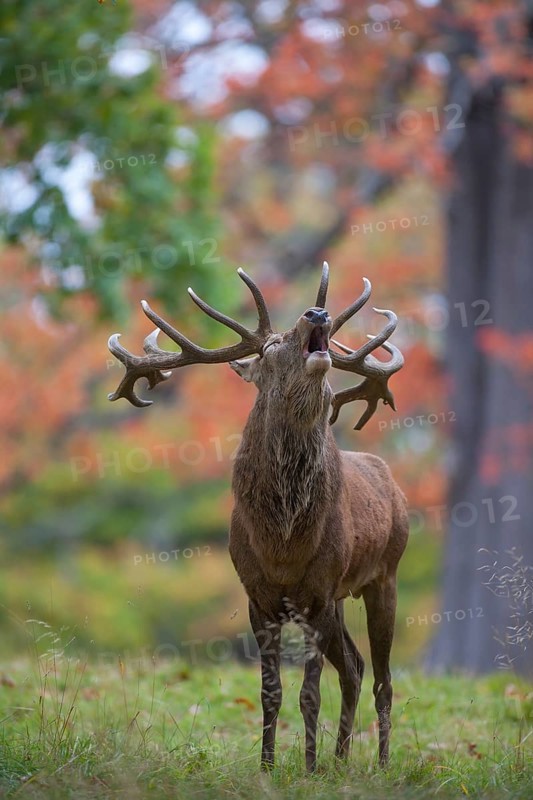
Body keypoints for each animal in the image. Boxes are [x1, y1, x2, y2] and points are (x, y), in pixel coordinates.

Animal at [108, 262, 409, 772]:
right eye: (268, 349)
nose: (317, 313)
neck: (283, 543)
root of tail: (393, 481)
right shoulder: (258, 596)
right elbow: (271, 693)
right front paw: (267, 768)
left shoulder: (318, 595)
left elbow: (309, 695)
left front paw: (307, 770)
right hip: (342, 597)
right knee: (354, 667)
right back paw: (341, 760)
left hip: (383, 574)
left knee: (382, 680)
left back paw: (382, 764)